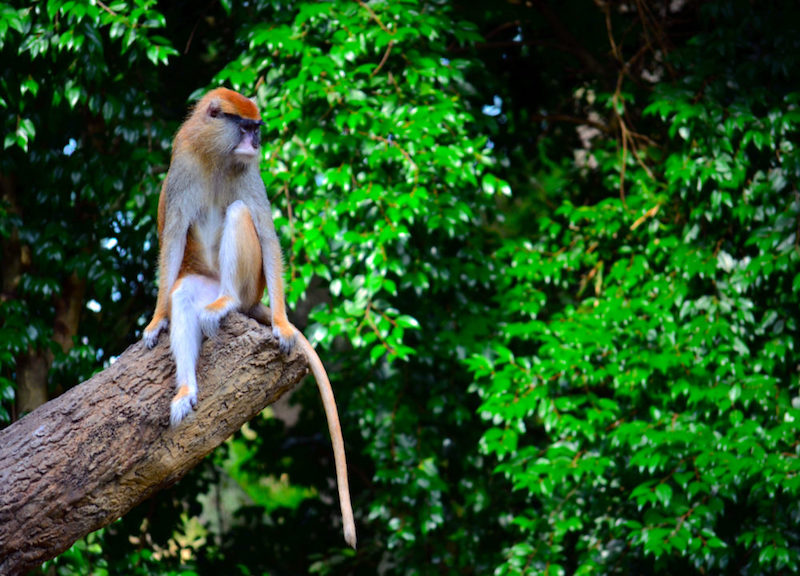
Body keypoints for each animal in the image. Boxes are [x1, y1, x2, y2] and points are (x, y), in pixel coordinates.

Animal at [143, 86, 356, 548]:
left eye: (257, 129)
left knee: (239, 212)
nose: (256, 142)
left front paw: (282, 323)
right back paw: (186, 389)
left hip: (247, 285)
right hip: (200, 279)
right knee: (184, 295)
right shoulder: (182, 167)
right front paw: (155, 321)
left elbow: (263, 227)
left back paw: (226, 304)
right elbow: (173, 239)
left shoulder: (248, 173)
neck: (215, 156)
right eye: (245, 126)